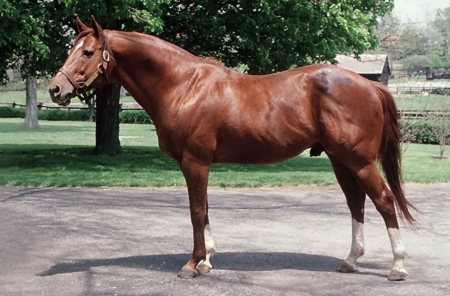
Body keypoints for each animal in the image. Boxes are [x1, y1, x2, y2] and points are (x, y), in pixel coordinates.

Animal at [47, 17, 416, 280]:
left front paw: (193, 264)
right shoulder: (197, 163)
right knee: (357, 202)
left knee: (384, 201)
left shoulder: (195, 161)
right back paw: (350, 260)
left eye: (88, 52)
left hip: (359, 161)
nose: (55, 89)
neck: (184, 85)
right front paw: (207, 260)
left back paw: (397, 267)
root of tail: (369, 85)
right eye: (71, 49)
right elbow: (205, 209)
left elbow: (196, 211)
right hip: (341, 160)